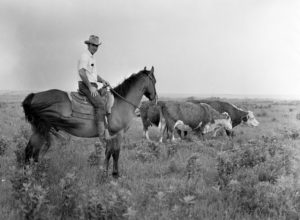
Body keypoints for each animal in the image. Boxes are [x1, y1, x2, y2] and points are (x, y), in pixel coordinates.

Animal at [21, 66, 157, 177]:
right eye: (154, 81)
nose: (155, 98)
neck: (121, 103)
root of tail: (34, 96)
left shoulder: (110, 135)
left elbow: (108, 152)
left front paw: (104, 172)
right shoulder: (119, 133)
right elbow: (116, 153)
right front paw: (115, 174)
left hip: (38, 129)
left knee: (30, 151)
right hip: (42, 129)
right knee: (32, 151)